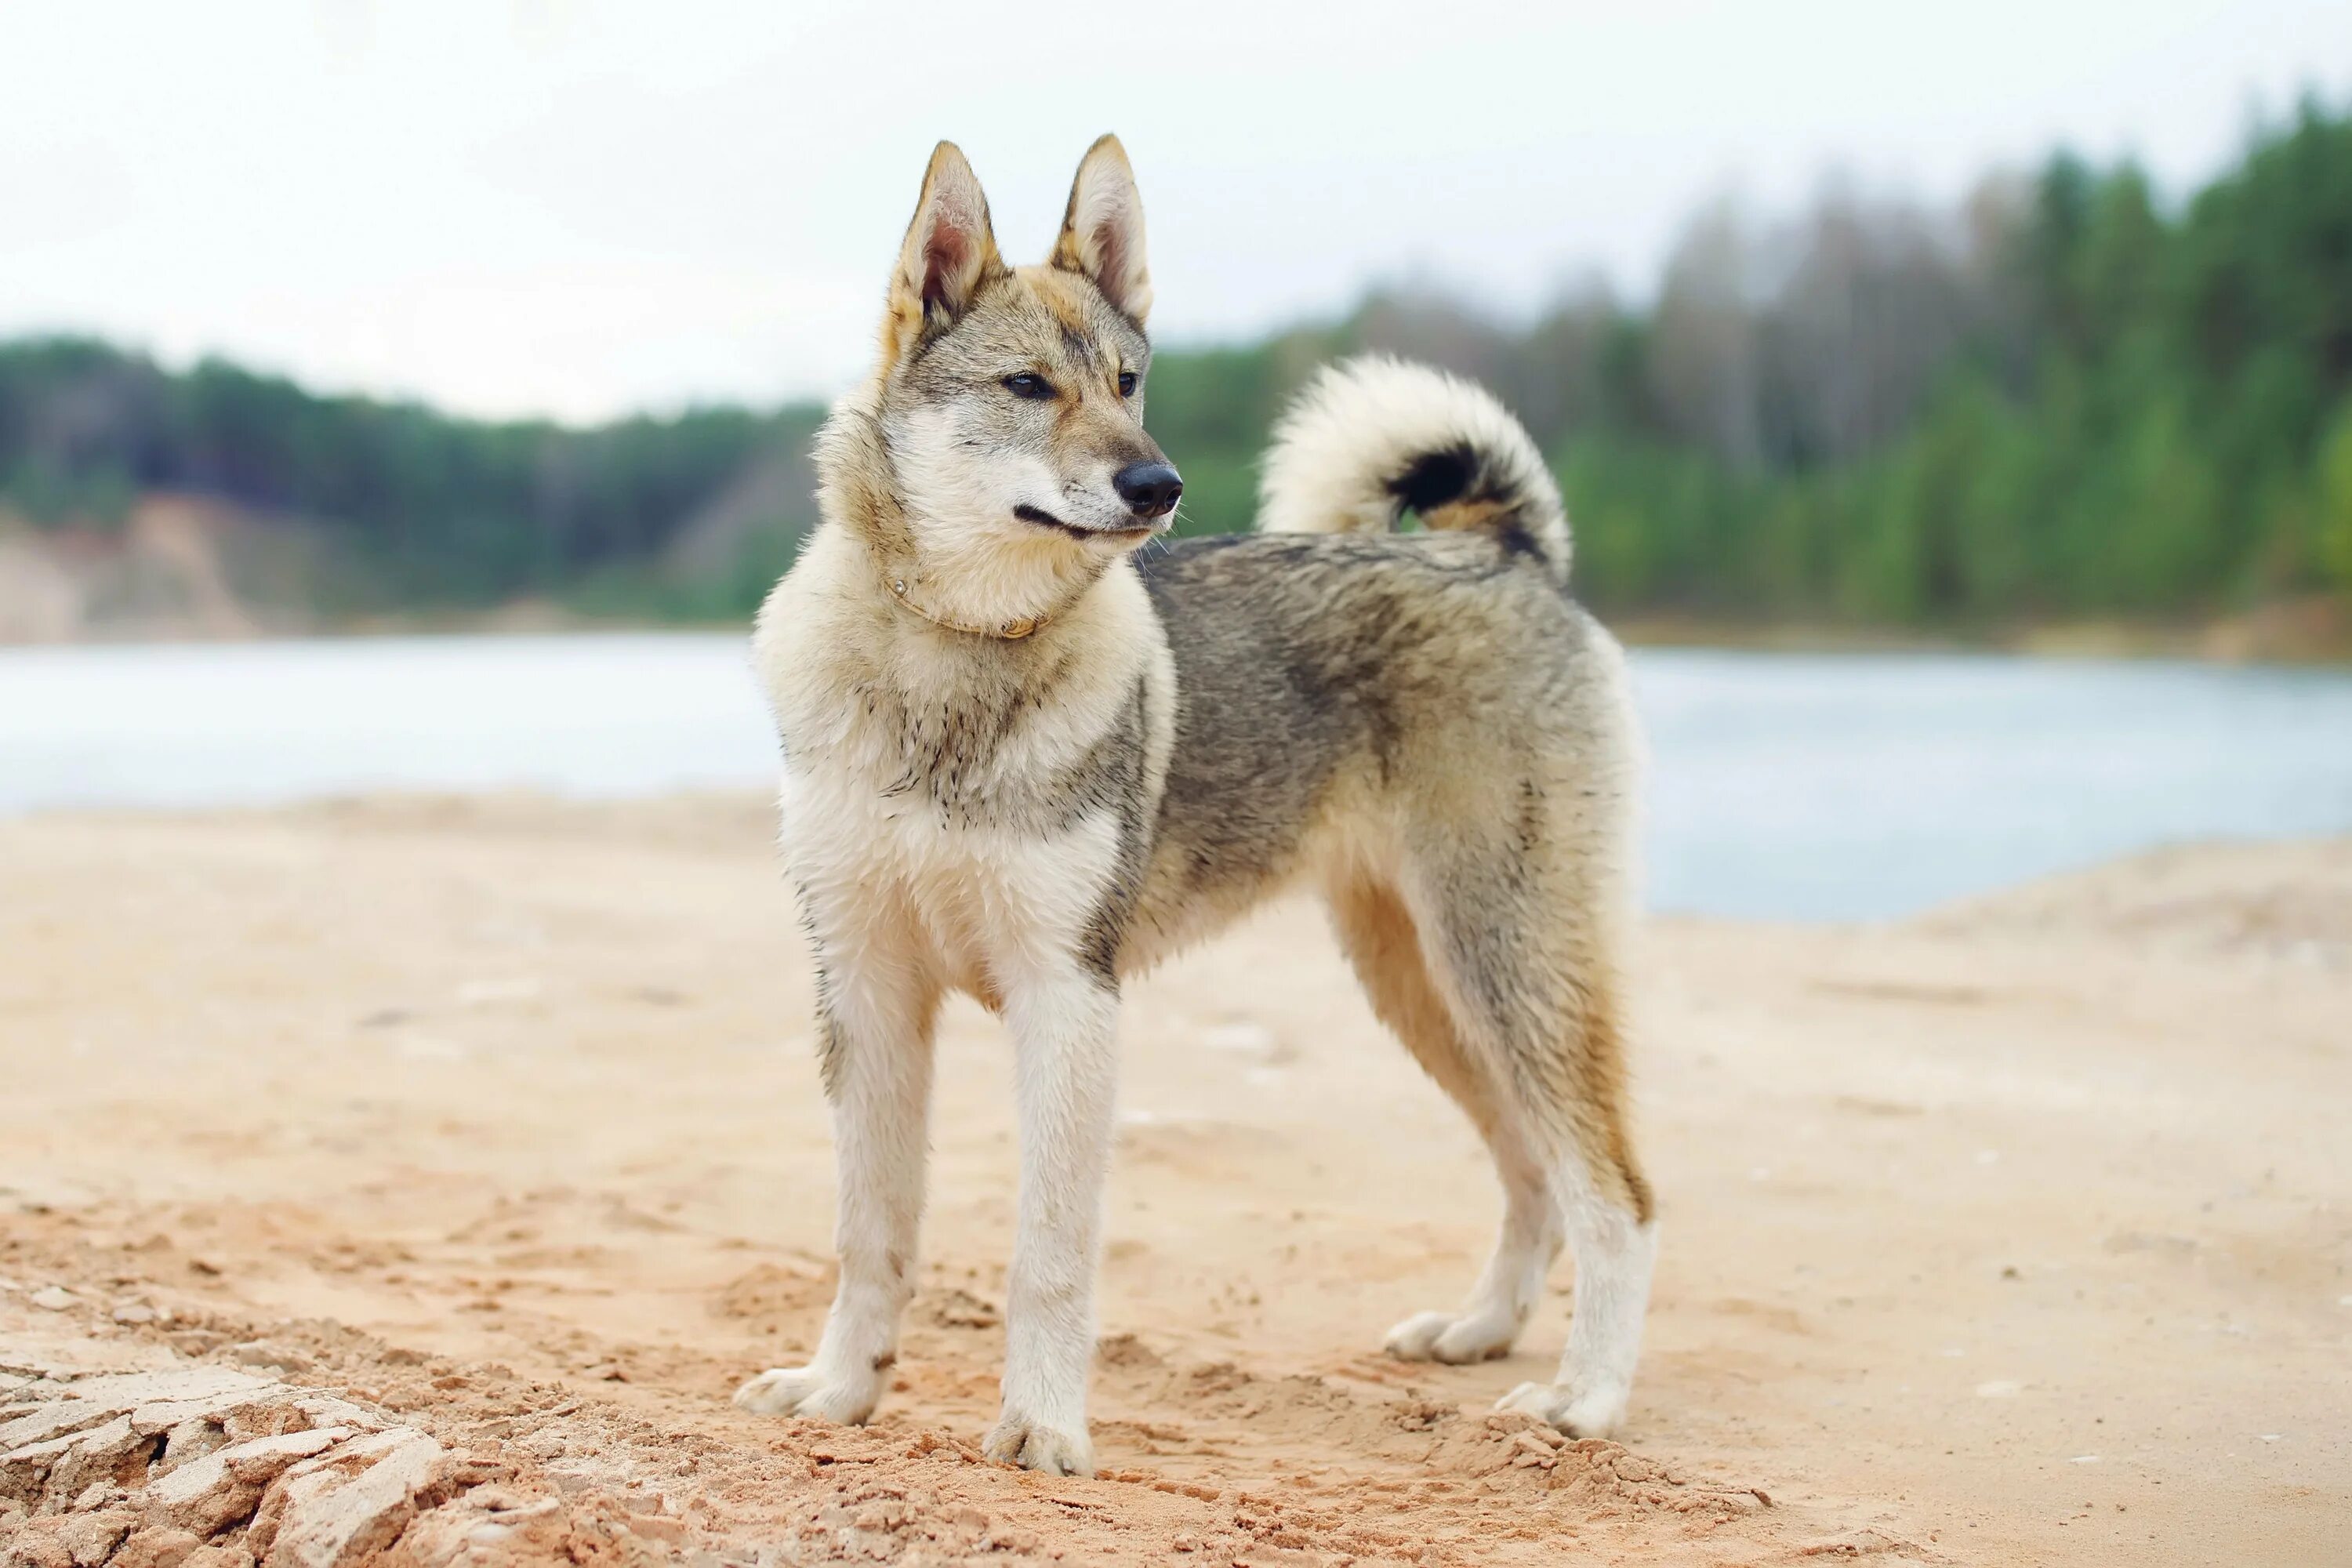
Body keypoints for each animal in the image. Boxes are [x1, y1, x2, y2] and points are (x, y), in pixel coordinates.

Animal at [734, 138, 1656, 1486]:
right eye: (1028, 385)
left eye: (1128, 382)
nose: (1158, 482)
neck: (953, 661)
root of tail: (1501, 552)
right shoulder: (865, 992)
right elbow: (871, 1233)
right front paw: (842, 1392)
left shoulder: (1068, 999)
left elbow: (1048, 1257)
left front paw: (1044, 1430)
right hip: (1429, 993)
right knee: (1536, 1173)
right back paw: (1481, 1332)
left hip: (1508, 971)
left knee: (1616, 1193)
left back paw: (1586, 1401)